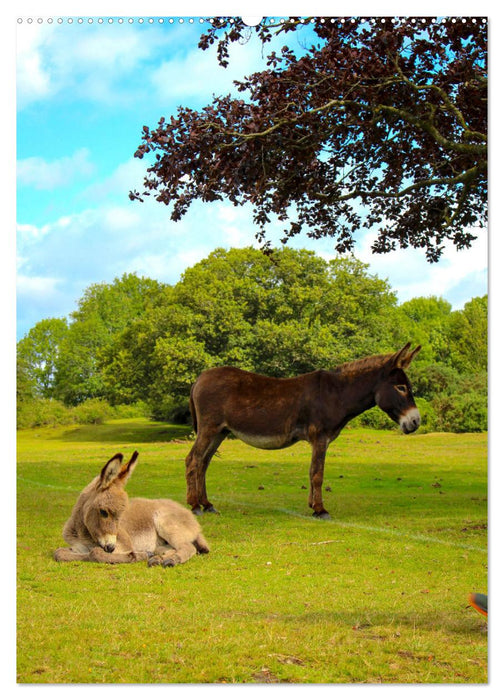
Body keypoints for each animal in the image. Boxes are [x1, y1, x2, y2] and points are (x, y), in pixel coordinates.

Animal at [52, 448, 207, 568]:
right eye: (103, 512)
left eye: (121, 515)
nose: (111, 547)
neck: (83, 534)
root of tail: (189, 514)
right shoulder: (77, 547)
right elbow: (59, 553)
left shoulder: (123, 545)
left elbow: (95, 552)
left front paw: (136, 555)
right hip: (161, 542)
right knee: (171, 548)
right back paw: (157, 559)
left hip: (166, 524)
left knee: (188, 547)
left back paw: (170, 560)